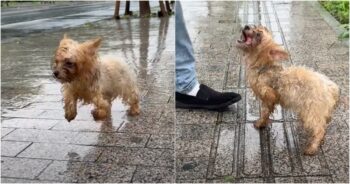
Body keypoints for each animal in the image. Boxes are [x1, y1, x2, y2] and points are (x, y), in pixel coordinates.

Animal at [235, 25, 340, 156]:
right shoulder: (268, 100)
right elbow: (266, 112)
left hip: (312, 111)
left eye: (258, 34)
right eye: (254, 26)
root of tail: (331, 88)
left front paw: (261, 123)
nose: (247, 26)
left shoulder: (268, 95)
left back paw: (312, 147)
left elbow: (265, 112)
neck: (263, 67)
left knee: (320, 129)